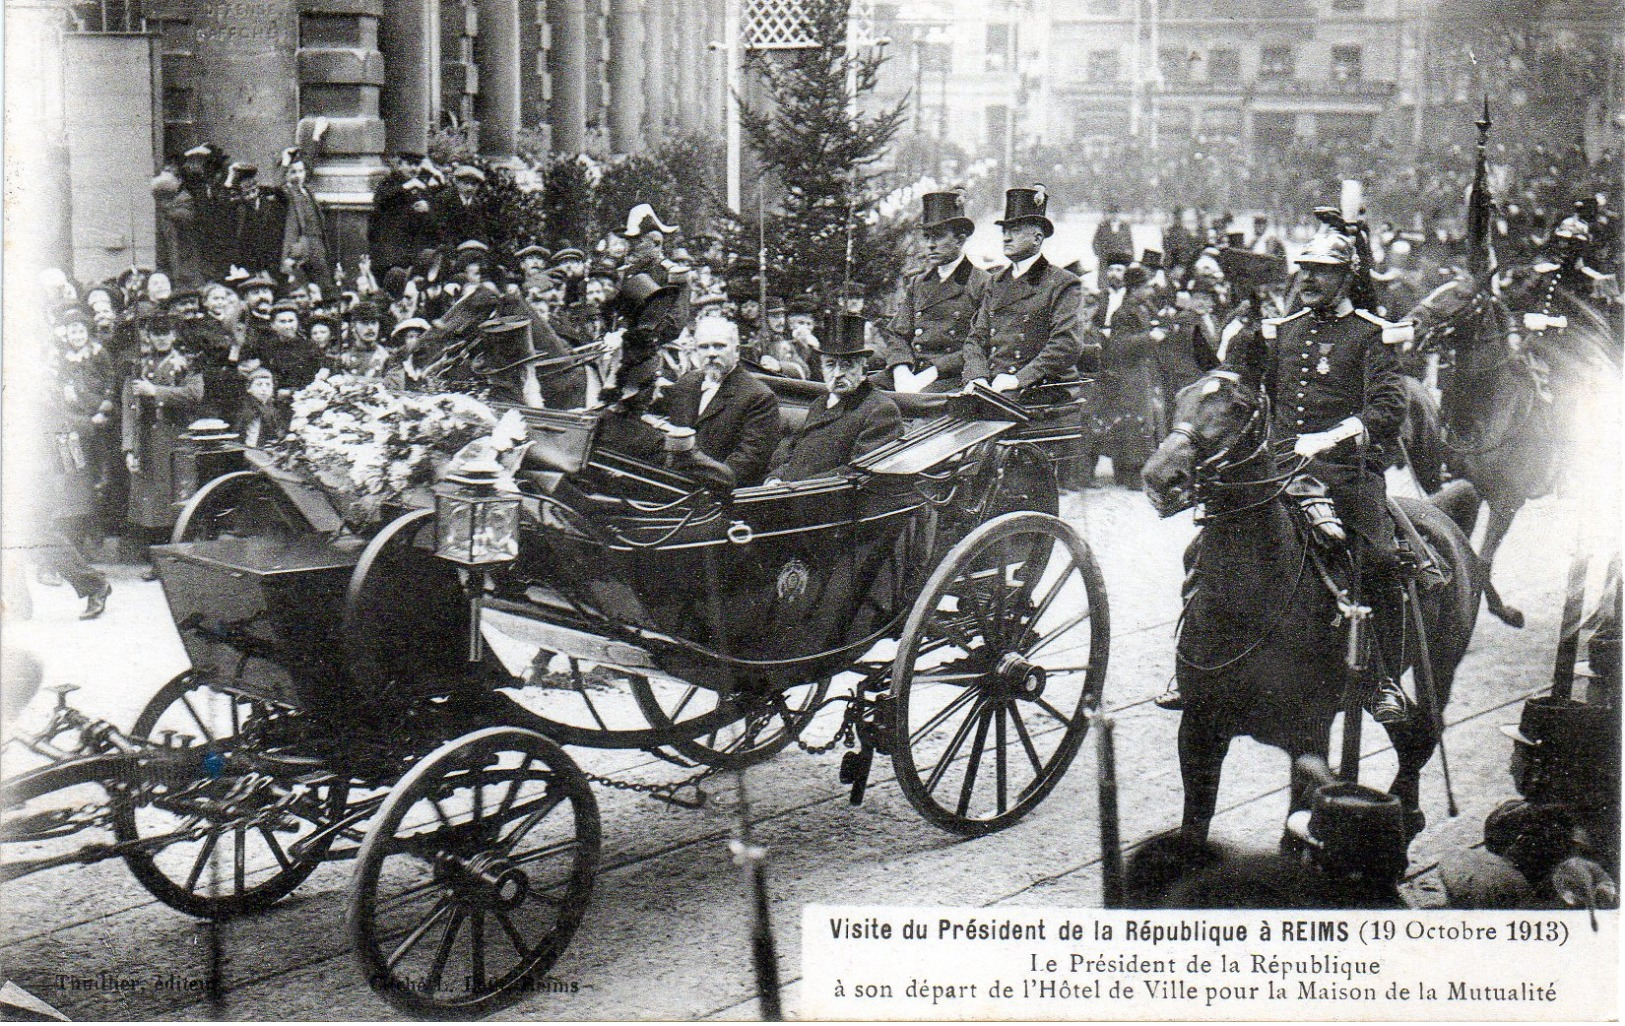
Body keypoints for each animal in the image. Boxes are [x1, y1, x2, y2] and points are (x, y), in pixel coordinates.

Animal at [1144, 373, 1488, 845]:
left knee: (1423, 733)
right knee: (1410, 735)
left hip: (1438, 666)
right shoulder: (1198, 730)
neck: (1249, 604)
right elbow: (1195, 826)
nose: (1160, 478)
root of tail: (1440, 515)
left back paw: (1407, 812)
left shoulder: (1310, 733)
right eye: (1180, 398)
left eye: (1236, 407)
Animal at [1410, 274, 1612, 627]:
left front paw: (1503, 612)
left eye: (1461, 295)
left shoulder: (1507, 502)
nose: (1414, 321)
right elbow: (1467, 549)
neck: (1496, 411)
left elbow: (1481, 561)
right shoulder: (1471, 490)